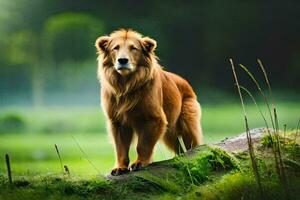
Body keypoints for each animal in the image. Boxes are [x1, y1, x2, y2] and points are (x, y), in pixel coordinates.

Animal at [95, 28, 204, 176]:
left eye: (133, 48)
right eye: (115, 48)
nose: (122, 60)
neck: (126, 85)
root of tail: (185, 82)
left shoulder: (154, 118)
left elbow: (143, 144)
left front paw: (140, 163)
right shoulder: (117, 120)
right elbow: (121, 147)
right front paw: (120, 167)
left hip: (187, 118)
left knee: (193, 142)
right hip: (169, 133)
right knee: (178, 147)